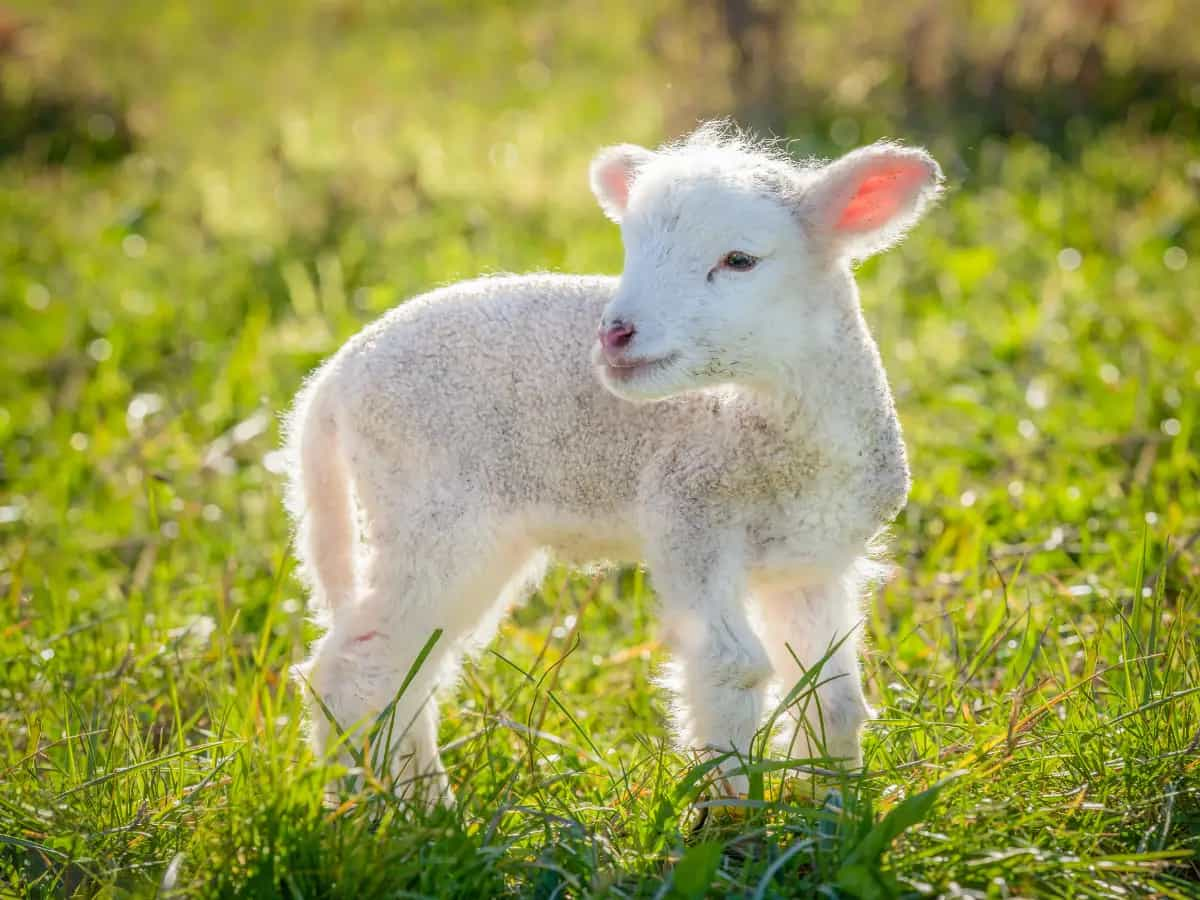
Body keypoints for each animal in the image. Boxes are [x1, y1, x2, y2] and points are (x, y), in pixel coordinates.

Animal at [285, 123, 940, 806]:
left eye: (740, 260)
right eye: (631, 248)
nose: (615, 334)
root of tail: (331, 379)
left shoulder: (809, 563)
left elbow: (832, 698)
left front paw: (834, 809)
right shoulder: (689, 518)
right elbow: (733, 669)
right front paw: (731, 815)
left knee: (405, 672)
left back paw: (410, 803)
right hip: (432, 513)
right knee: (358, 666)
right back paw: (392, 813)